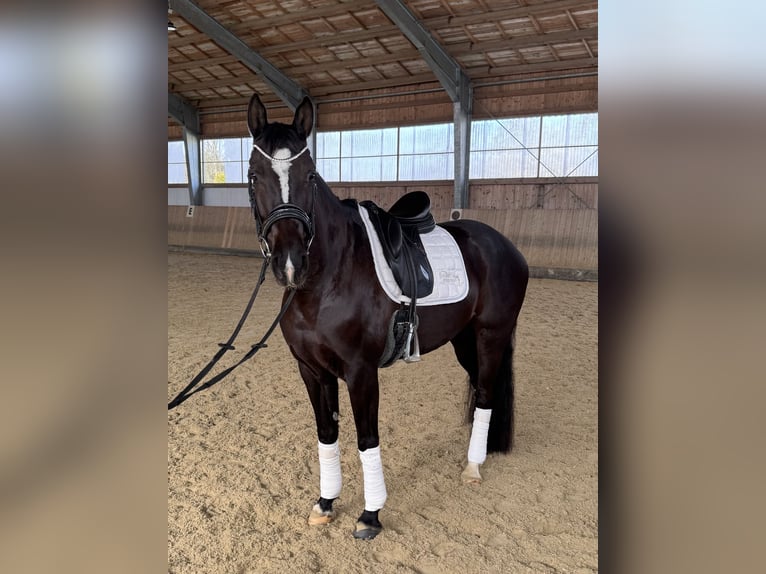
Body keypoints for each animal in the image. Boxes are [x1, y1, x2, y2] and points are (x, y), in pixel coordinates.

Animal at [245, 93, 528, 539]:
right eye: (255, 175)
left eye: (310, 176)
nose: (291, 263)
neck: (329, 279)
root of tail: (503, 244)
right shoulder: (312, 370)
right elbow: (327, 434)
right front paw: (326, 502)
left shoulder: (361, 371)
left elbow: (366, 438)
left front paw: (370, 514)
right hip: (465, 340)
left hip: (491, 336)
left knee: (485, 394)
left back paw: (472, 467)